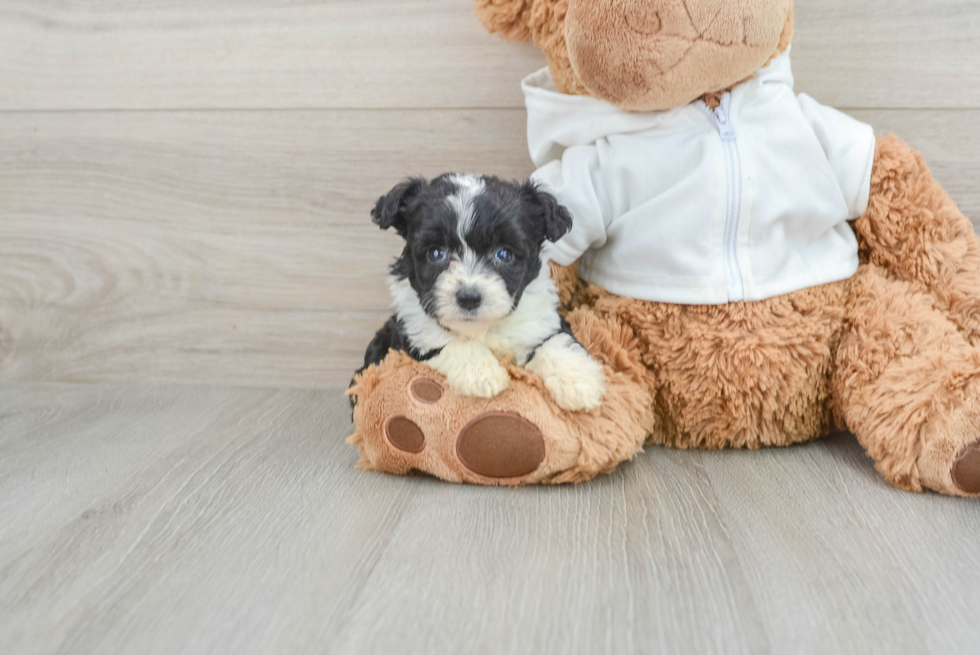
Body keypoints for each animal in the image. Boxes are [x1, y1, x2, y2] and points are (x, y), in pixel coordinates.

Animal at [360, 174, 604, 410]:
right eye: (436, 253)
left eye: (504, 254)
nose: (468, 298)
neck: (483, 328)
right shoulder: (412, 333)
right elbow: (445, 341)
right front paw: (481, 373)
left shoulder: (542, 320)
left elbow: (555, 340)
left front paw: (580, 381)